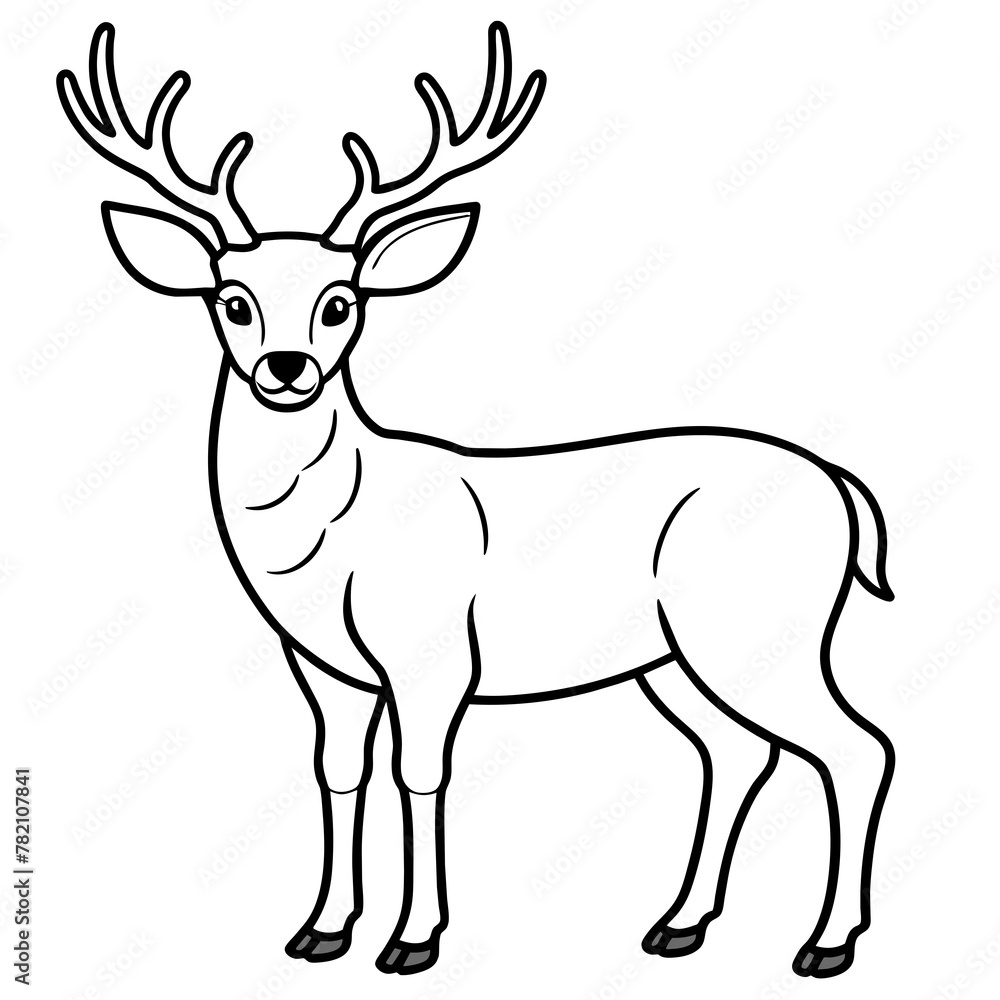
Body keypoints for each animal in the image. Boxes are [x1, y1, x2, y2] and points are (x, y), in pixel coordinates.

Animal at [59, 21, 895, 980]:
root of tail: (841, 488)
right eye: (231, 300)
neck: (333, 540)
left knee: (857, 747)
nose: (286, 368)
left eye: (341, 302)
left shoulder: (432, 652)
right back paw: (679, 925)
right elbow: (337, 770)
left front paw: (413, 940)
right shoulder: (320, 666)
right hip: (673, 658)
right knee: (738, 751)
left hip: (759, 628)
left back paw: (825, 945)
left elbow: (420, 774)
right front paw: (321, 931)